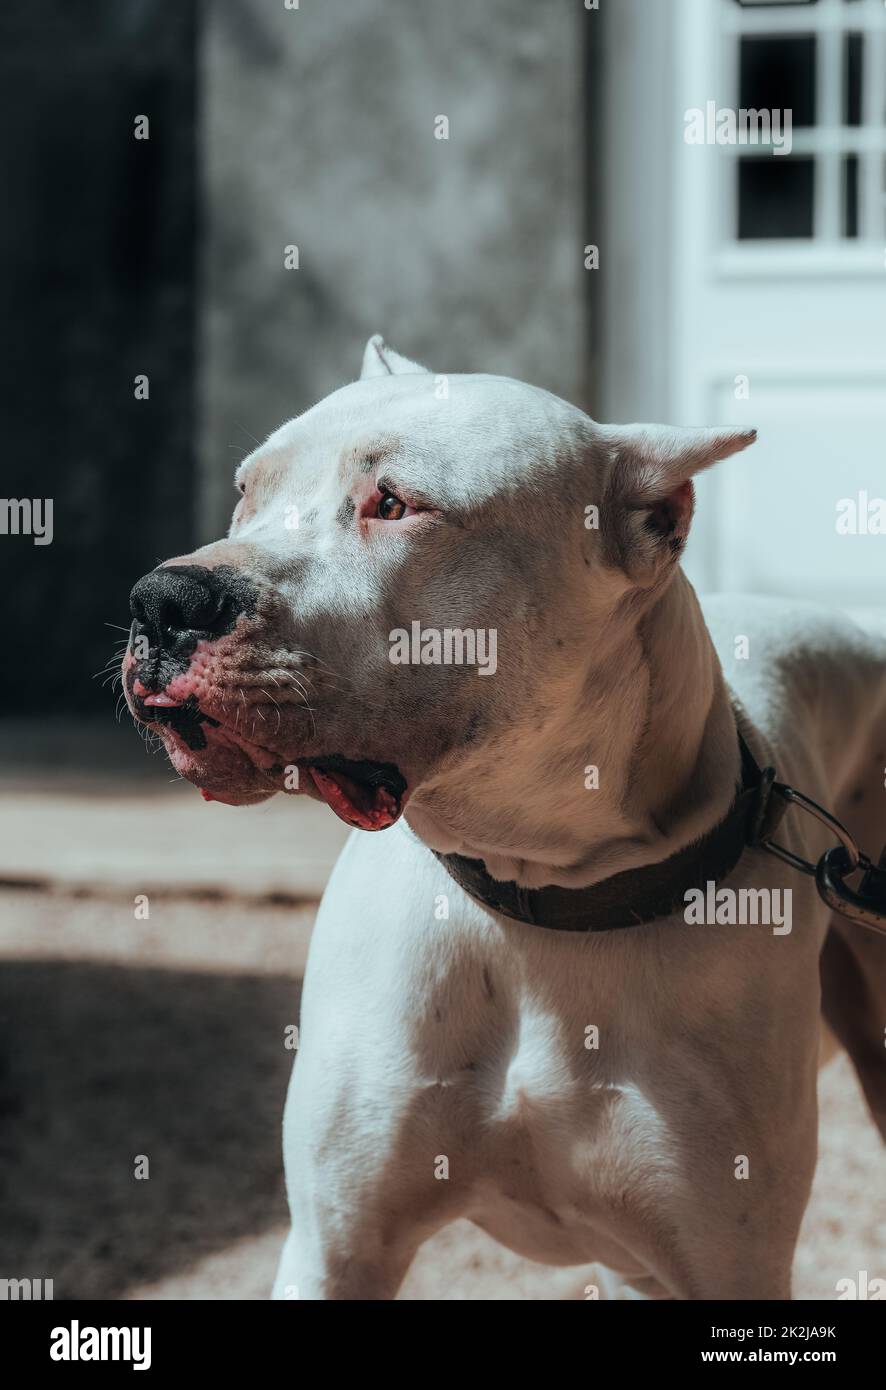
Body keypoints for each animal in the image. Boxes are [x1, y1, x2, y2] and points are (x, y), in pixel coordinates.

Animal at [124, 339, 884, 1301]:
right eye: (246, 491)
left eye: (394, 503)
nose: (164, 599)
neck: (539, 890)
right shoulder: (334, 1244)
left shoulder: (728, 1265)